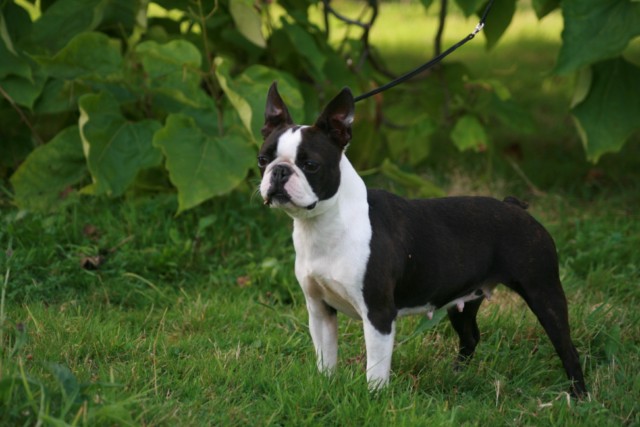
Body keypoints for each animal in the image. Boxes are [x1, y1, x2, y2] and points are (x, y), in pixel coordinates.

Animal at [257, 82, 587, 397]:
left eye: (310, 165)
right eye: (263, 159)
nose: (279, 171)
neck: (325, 223)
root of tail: (514, 206)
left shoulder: (378, 314)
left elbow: (376, 369)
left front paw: (374, 398)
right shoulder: (319, 310)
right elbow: (326, 358)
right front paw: (326, 386)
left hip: (543, 291)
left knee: (568, 348)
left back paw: (579, 396)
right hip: (465, 298)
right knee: (471, 336)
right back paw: (457, 376)